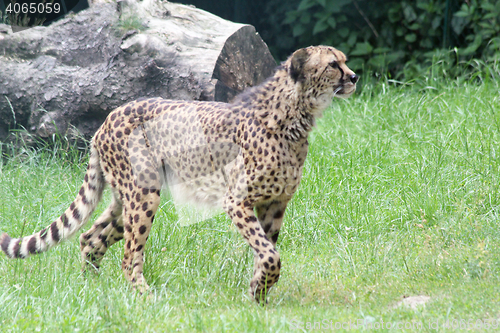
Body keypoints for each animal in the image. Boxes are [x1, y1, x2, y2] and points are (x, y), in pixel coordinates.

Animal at [0, 45, 360, 302]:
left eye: (344, 61)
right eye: (333, 64)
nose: (355, 76)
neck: (296, 113)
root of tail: (110, 116)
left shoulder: (274, 204)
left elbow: (267, 253)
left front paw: (258, 292)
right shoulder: (237, 201)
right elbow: (270, 254)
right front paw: (258, 290)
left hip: (125, 199)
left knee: (91, 236)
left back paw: (91, 287)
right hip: (143, 195)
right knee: (129, 255)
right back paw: (143, 296)